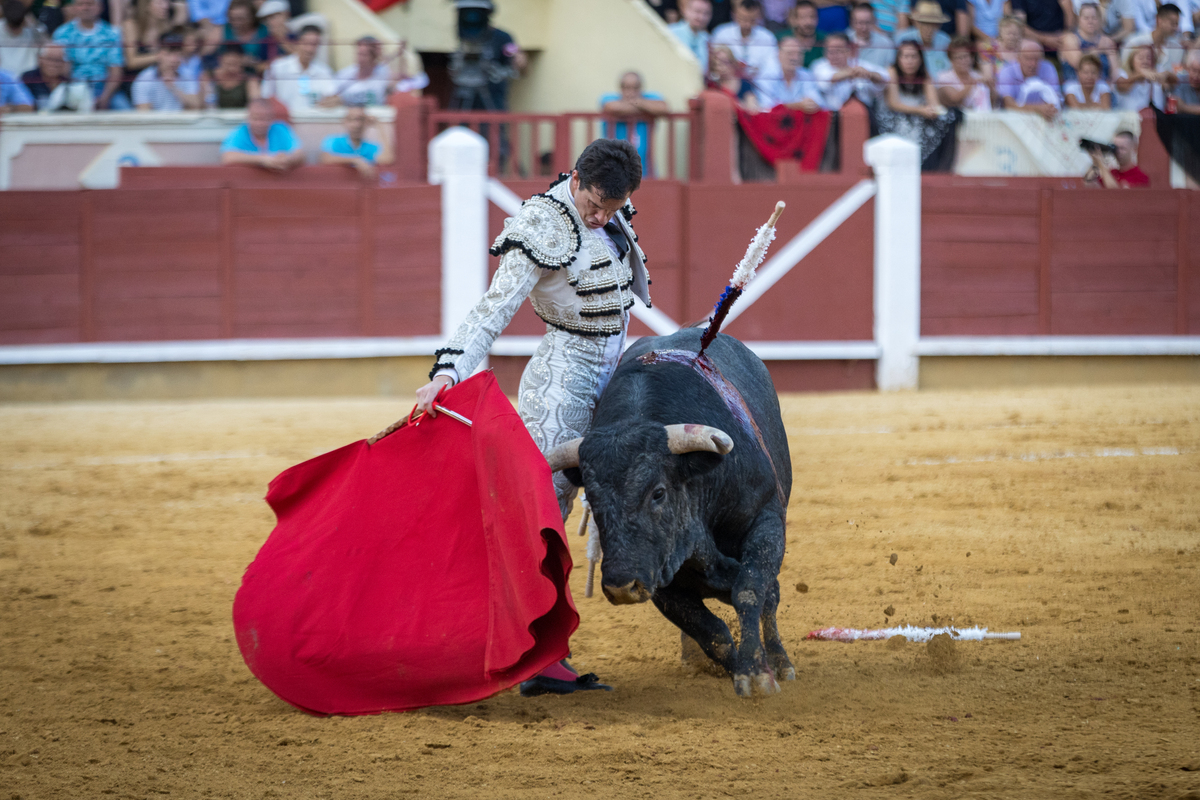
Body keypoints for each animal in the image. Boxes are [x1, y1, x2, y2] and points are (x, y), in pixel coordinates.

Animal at [547, 328, 792, 695]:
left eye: (658, 493)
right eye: (592, 497)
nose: (620, 587)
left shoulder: (766, 522)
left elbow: (750, 591)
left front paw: (758, 673)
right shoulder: (658, 573)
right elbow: (712, 632)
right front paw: (736, 670)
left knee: (769, 597)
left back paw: (780, 662)